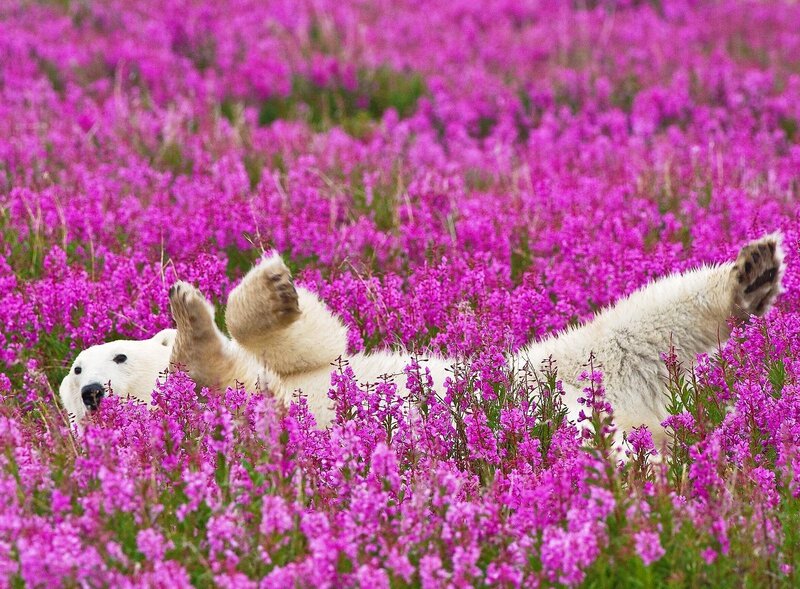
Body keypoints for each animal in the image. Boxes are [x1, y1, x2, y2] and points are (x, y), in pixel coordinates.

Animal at [59, 234, 785, 445]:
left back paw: (752, 271)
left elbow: (314, 342)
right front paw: (192, 326)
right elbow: (224, 376)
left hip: (556, 366)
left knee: (641, 322)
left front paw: (263, 288)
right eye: (74, 374)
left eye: (111, 354)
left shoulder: (299, 369)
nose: (92, 391)